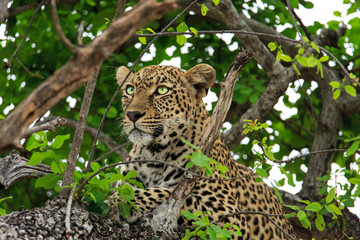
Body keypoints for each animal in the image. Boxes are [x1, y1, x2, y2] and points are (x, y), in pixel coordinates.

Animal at [114, 64, 296, 240]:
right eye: (130, 90)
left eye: (162, 90)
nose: (132, 114)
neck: (153, 154)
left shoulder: (231, 217)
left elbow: (170, 194)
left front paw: (122, 200)